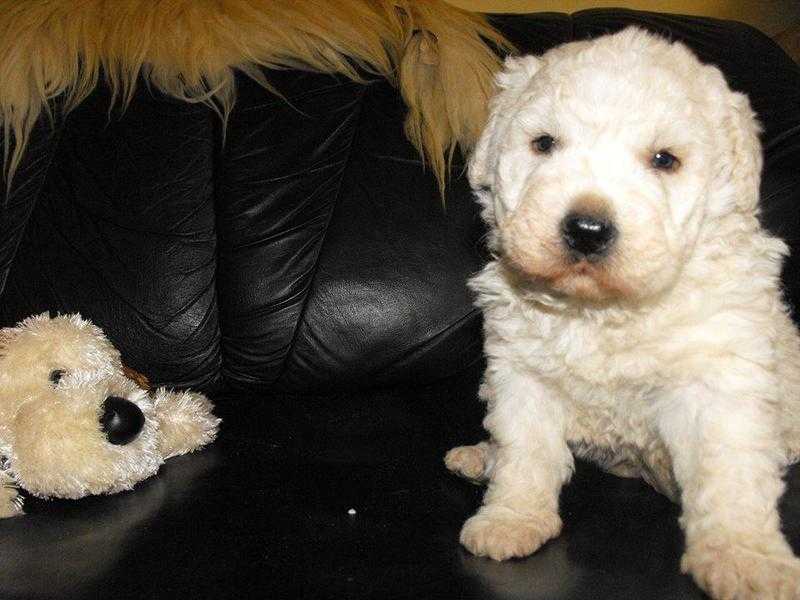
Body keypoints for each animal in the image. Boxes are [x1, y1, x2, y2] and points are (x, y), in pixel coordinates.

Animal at [446, 25, 800, 596]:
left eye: (664, 160)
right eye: (544, 144)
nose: (587, 230)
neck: (604, 312)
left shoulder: (719, 382)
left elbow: (728, 475)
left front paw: (743, 558)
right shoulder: (521, 374)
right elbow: (525, 450)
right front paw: (512, 518)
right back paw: (481, 457)